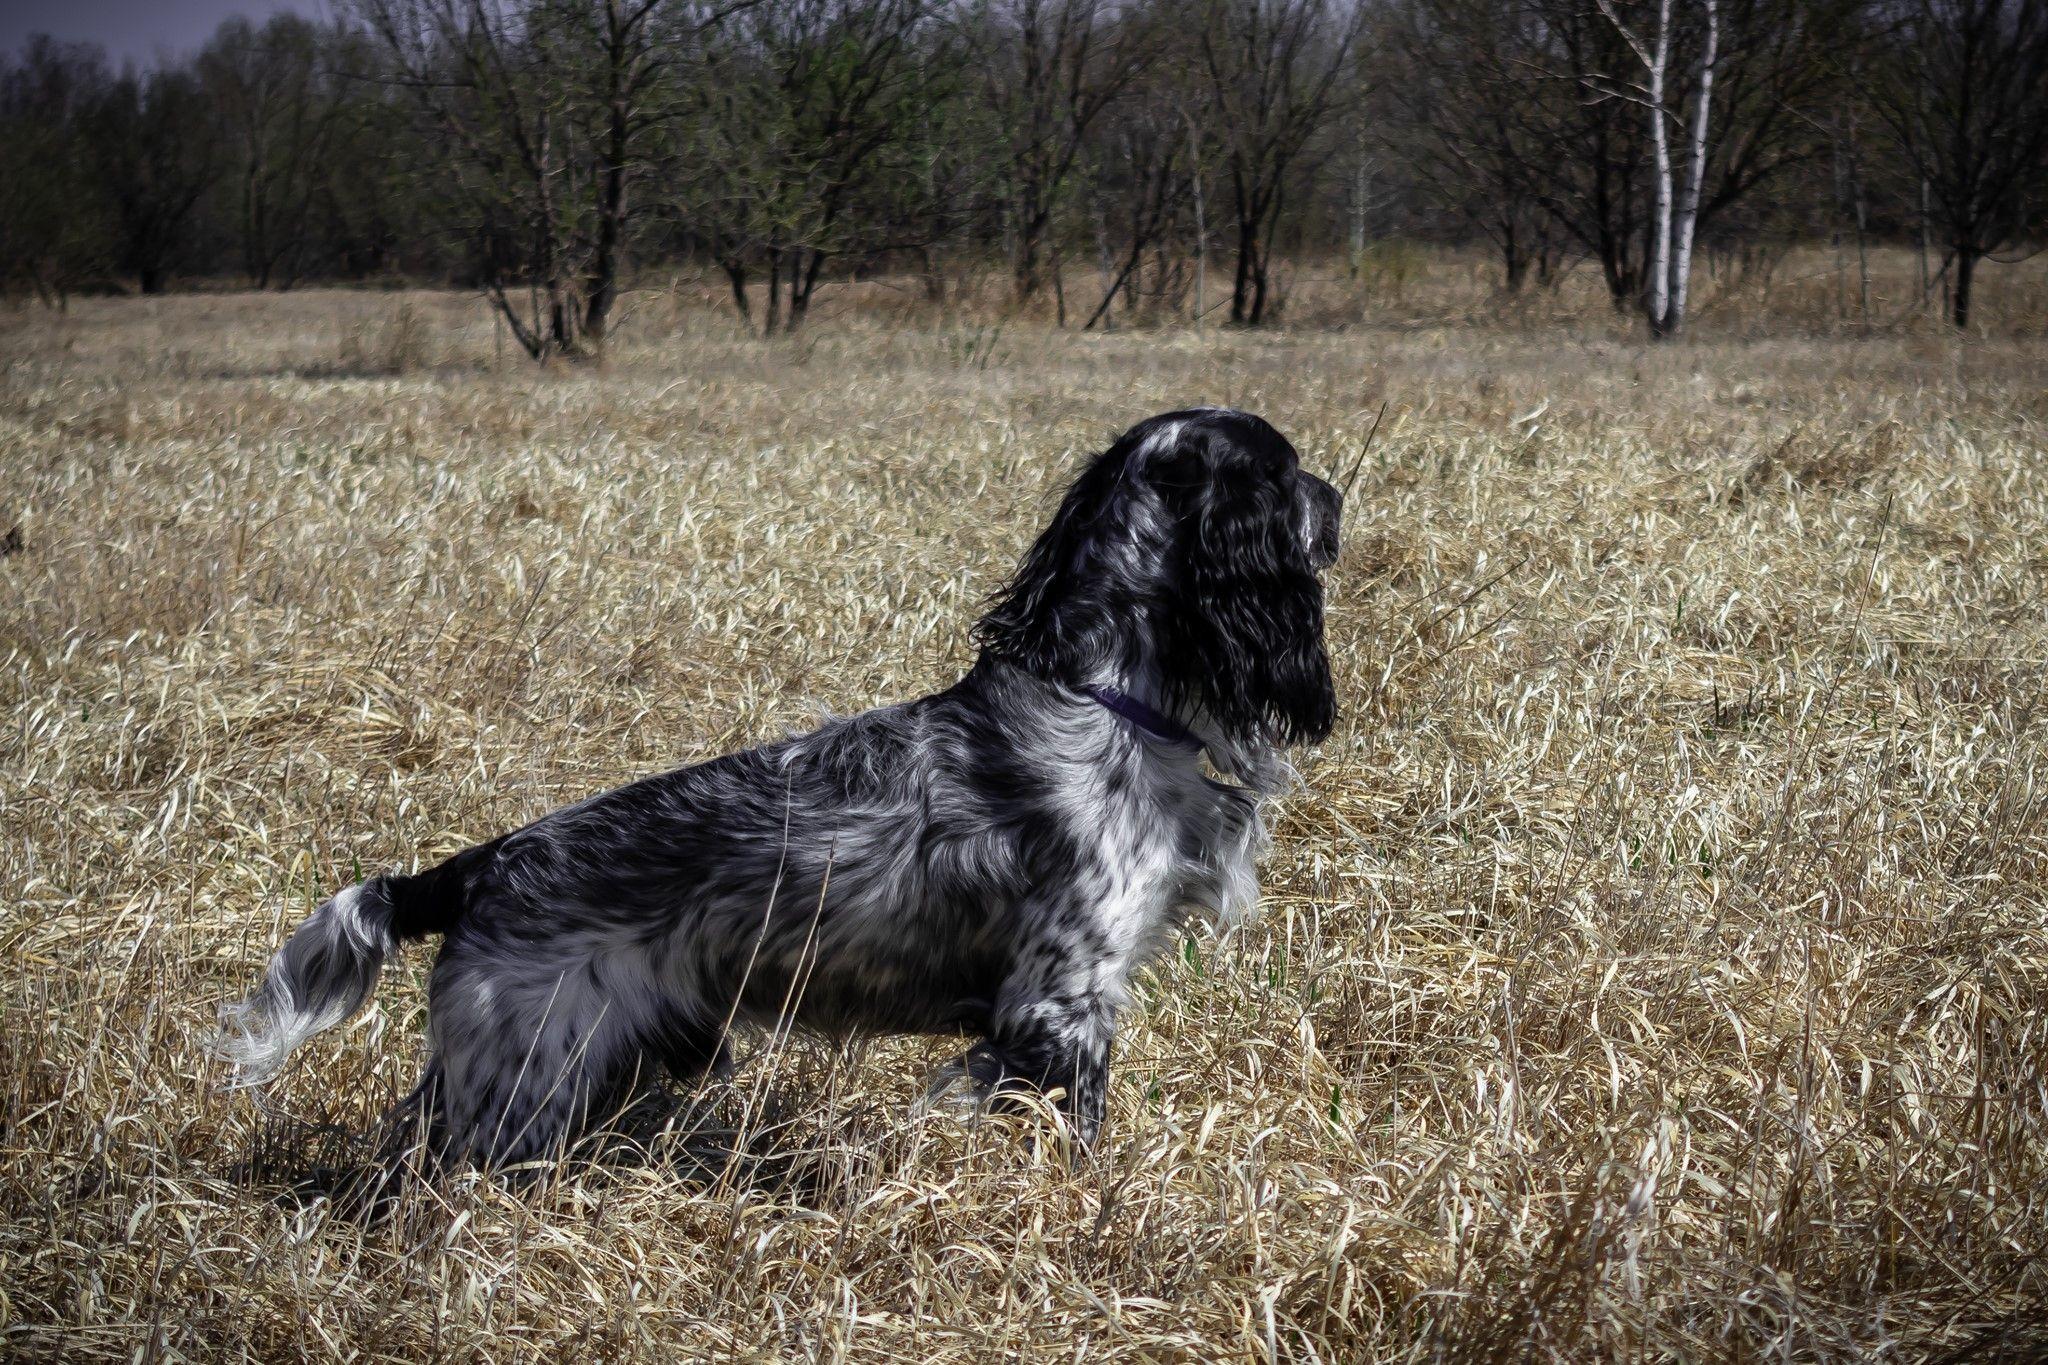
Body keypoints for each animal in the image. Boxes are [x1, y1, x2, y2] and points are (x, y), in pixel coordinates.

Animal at [224, 405, 1343, 1162]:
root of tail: (479, 866)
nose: (1337, 494)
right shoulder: (1059, 1005)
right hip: (520, 1078)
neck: (1099, 693)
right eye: (1286, 472)